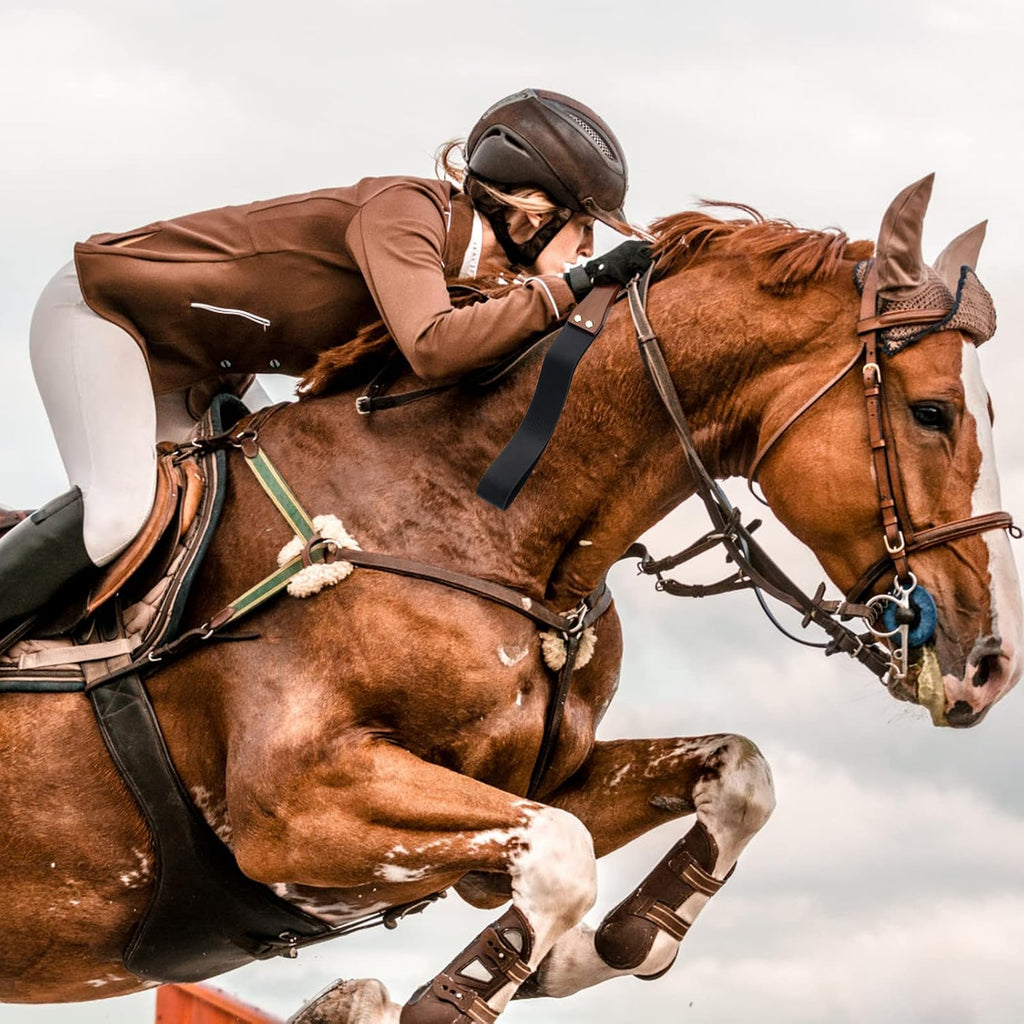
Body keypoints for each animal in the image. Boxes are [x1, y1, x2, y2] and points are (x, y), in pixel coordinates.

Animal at [0, 173, 1018, 1024]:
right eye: (932, 412)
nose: (992, 667)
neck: (475, 513)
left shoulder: (541, 778)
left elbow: (736, 779)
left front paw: (607, 946)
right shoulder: (292, 806)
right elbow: (561, 857)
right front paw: (444, 997)